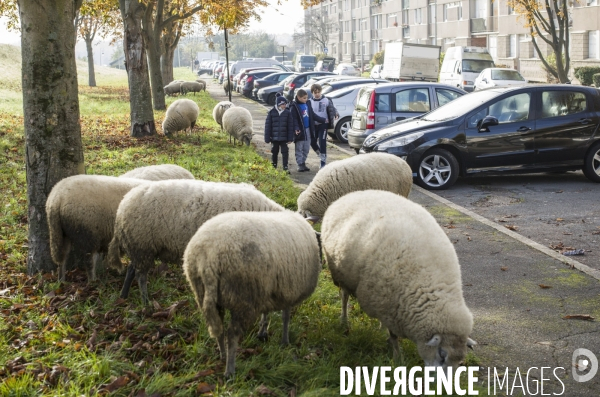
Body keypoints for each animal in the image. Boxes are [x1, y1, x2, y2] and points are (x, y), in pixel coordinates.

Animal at [106, 179, 284, 304]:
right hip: (142, 246)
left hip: (139, 248)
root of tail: (122, 207)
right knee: (140, 275)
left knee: (131, 269)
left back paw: (124, 296)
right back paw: (146, 303)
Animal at [185, 209, 322, 376]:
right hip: (242, 296)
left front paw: (262, 331)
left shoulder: (267, 289)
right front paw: (285, 341)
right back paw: (230, 370)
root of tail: (209, 259)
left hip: (204, 292)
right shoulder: (288, 291)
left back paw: (222, 355)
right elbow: (286, 318)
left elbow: (266, 313)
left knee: (219, 328)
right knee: (232, 334)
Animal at [322, 189, 476, 368]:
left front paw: (383, 334)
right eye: (442, 355)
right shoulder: (387, 303)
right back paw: (344, 321)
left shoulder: (390, 304)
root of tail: (353, 193)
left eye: (460, 361)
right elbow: (394, 336)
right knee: (344, 297)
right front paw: (397, 358)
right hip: (341, 274)